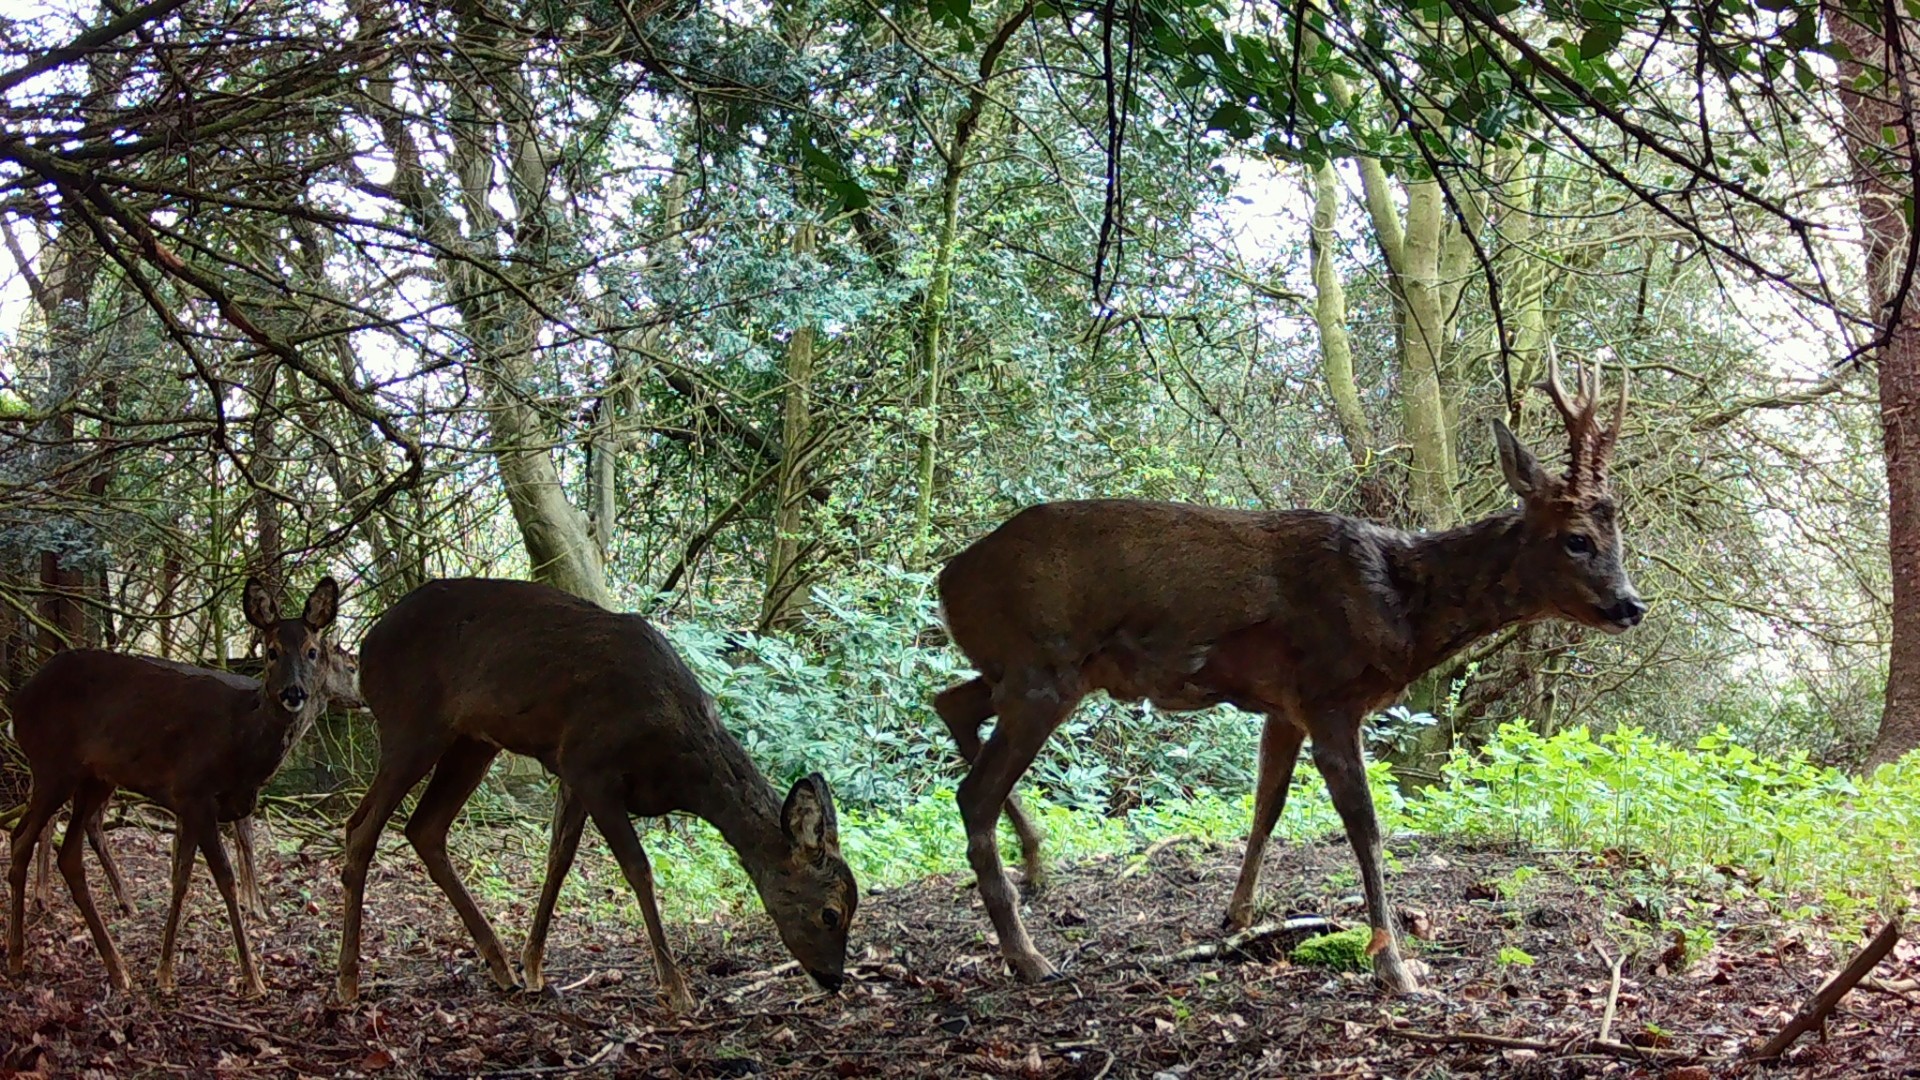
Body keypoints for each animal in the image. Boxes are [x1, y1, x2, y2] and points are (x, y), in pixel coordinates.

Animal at [334, 580, 860, 1006]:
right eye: (830, 914)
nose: (833, 979)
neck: (680, 760)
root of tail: (365, 645)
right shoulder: (592, 767)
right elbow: (638, 869)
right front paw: (676, 989)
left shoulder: (570, 770)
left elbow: (559, 860)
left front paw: (533, 969)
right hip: (411, 723)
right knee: (361, 826)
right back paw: (348, 982)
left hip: (473, 741)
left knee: (424, 827)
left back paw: (499, 967)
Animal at [936, 355, 1643, 991]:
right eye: (1577, 538)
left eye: (1621, 538)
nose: (1631, 605)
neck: (1400, 607)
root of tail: (947, 578)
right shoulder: (1331, 695)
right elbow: (1366, 829)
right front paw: (1395, 967)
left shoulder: (1284, 705)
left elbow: (1267, 806)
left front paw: (1238, 915)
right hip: (1042, 666)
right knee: (972, 793)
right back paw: (1028, 955)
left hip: (1030, 671)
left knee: (951, 705)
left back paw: (1036, 865)